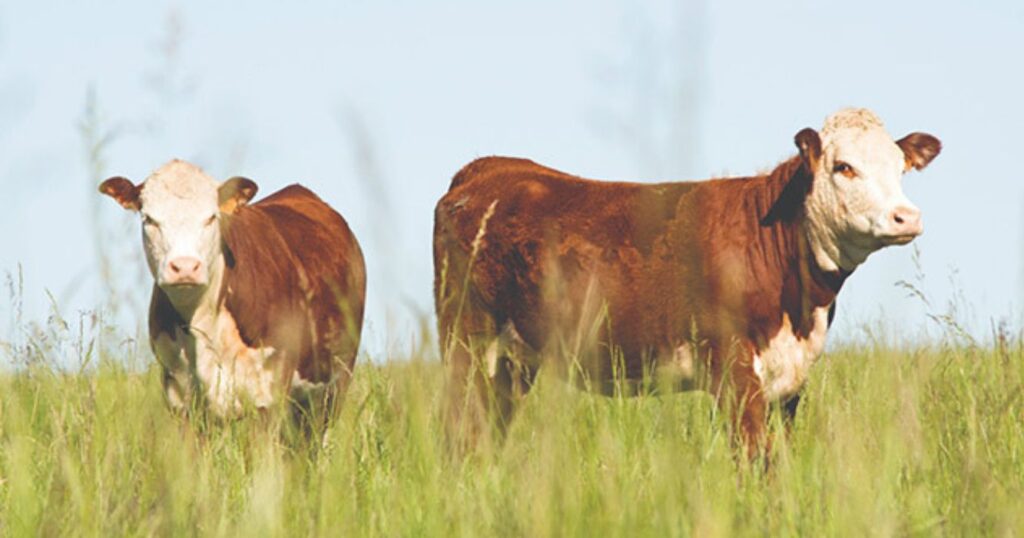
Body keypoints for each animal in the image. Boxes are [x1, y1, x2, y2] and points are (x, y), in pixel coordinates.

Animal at [99, 157, 364, 426]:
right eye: (149, 219)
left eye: (211, 217)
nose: (185, 267)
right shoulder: (179, 398)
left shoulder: (268, 395)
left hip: (334, 384)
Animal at [432, 108, 942, 452]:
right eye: (843, 167)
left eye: (900, 168)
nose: (907, 217)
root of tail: (490, 169)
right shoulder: (733, 371)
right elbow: (755, 461)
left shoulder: (791, 381)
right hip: (467, 345)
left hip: (514, 364)